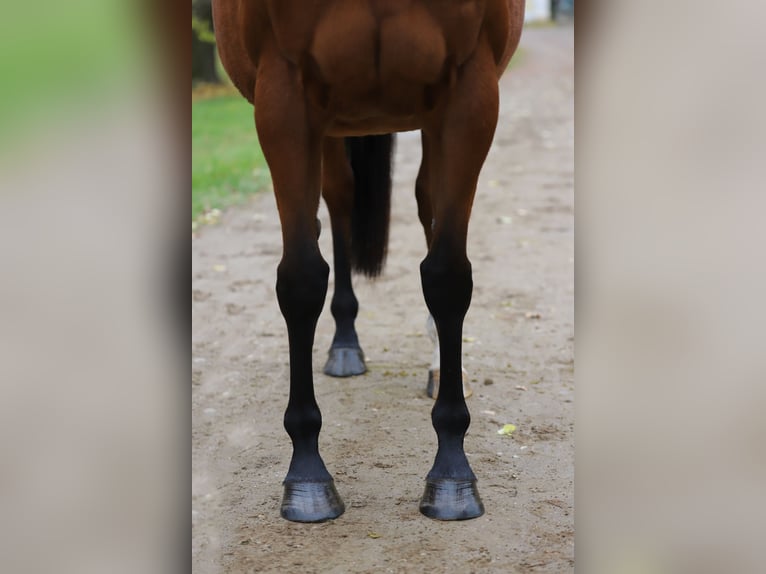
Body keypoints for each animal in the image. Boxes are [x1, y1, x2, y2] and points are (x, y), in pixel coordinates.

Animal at [213, 0, 528, 520]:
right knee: (339, 201)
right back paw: (345, 345)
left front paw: (451, 474)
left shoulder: (470, 91)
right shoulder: (284, 95)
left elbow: (446, 277)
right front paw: (308, 476)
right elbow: (301, 280)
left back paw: (437, 367)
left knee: (426, 204)